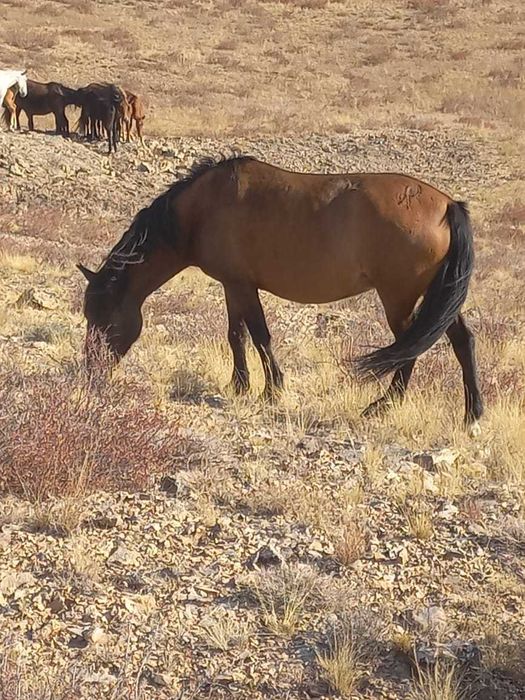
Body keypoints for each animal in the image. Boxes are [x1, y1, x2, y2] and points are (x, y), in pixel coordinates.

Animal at [77, 155, 483, 433]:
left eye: (102, 317)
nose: (91, 373)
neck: (202, 209)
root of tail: (447, 205)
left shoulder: (242, 285)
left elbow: (259, 334)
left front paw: (272, 389)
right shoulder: (232, 285)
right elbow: (237, 334)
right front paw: (239, 385)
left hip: (399, 297)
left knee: (408, 348)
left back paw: (383, 405)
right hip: (437, 296)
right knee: (460, 341)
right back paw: (472, 414)